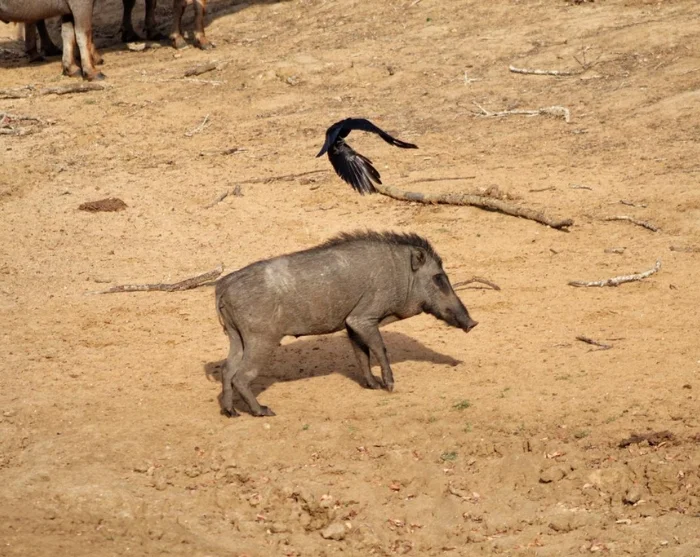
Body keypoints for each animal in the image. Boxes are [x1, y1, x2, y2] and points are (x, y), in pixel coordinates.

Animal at [214, 230, 478, 417]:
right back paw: (263, 411)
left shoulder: (352, 324)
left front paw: (373, 385)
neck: (400, 273)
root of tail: (222, 286)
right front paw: (389, 386)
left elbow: (361, 354)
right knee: (241, 376)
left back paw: (231, 412)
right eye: (438, 278)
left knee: (227, 370)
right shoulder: (363, 318)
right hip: (261, 339)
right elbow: (379, 349)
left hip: (236, 338)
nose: (473, 323)